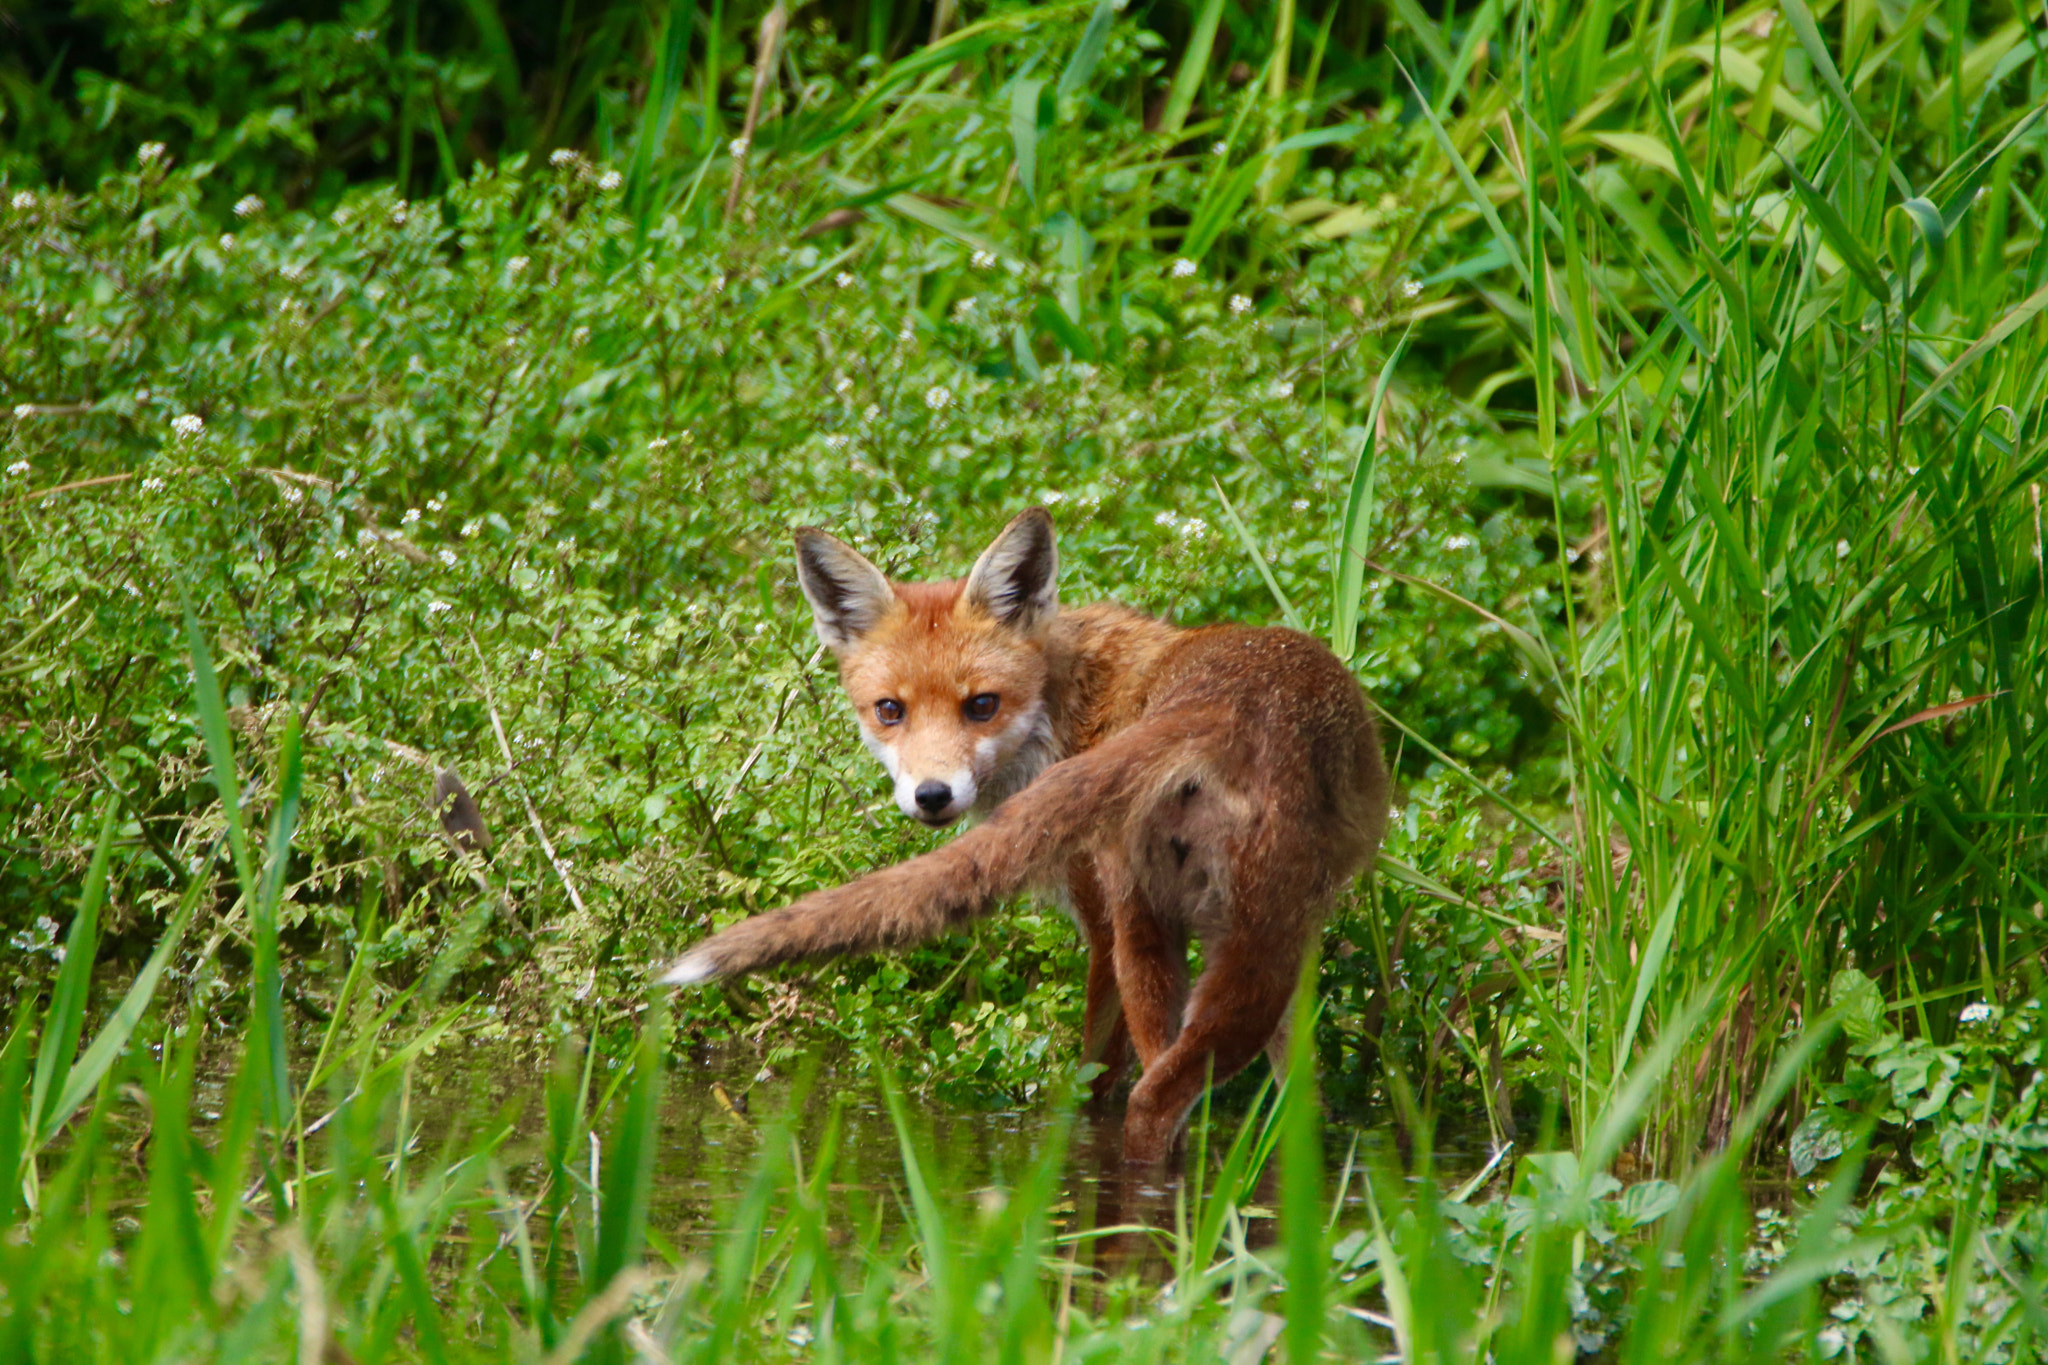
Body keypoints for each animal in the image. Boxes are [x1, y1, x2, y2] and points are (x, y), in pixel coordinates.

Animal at [661, 508, 1392, 1164]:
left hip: (1205, 945)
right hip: (1218, 948)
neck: (1068, 711)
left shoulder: (1113, 929)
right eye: (890, 710)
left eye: (982, 704)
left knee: (1161, 1093)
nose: (932, 795)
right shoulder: (1118, 930)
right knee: (1155, 1099)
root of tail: (1211, 705)